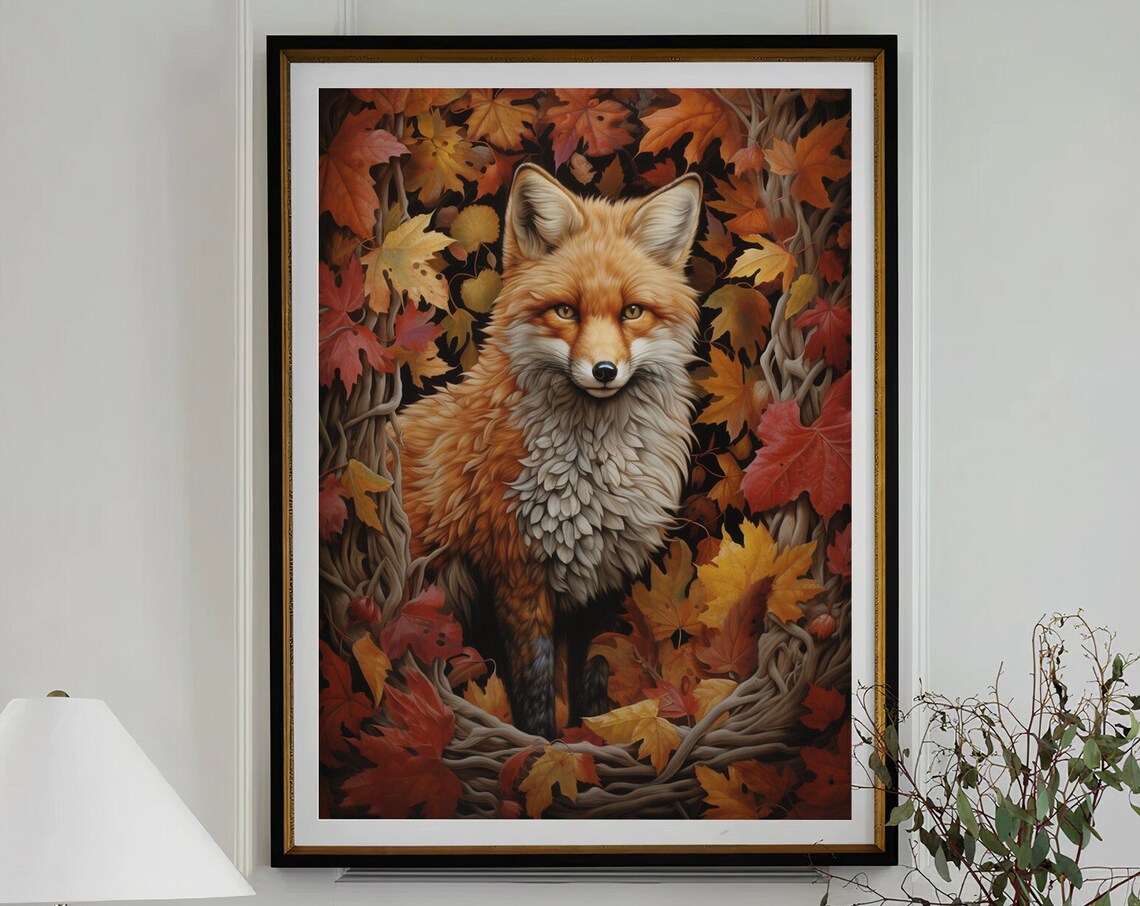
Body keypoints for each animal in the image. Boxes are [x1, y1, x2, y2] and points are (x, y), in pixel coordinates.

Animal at [399, 163, 703, 739]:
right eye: (566, 311)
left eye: (632, 312)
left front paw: (596, 735)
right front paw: (544, 749)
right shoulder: (516, 576)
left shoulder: (602, 578)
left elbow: (592, 672)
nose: (604, 371)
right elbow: (536, 689)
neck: (591, 479)